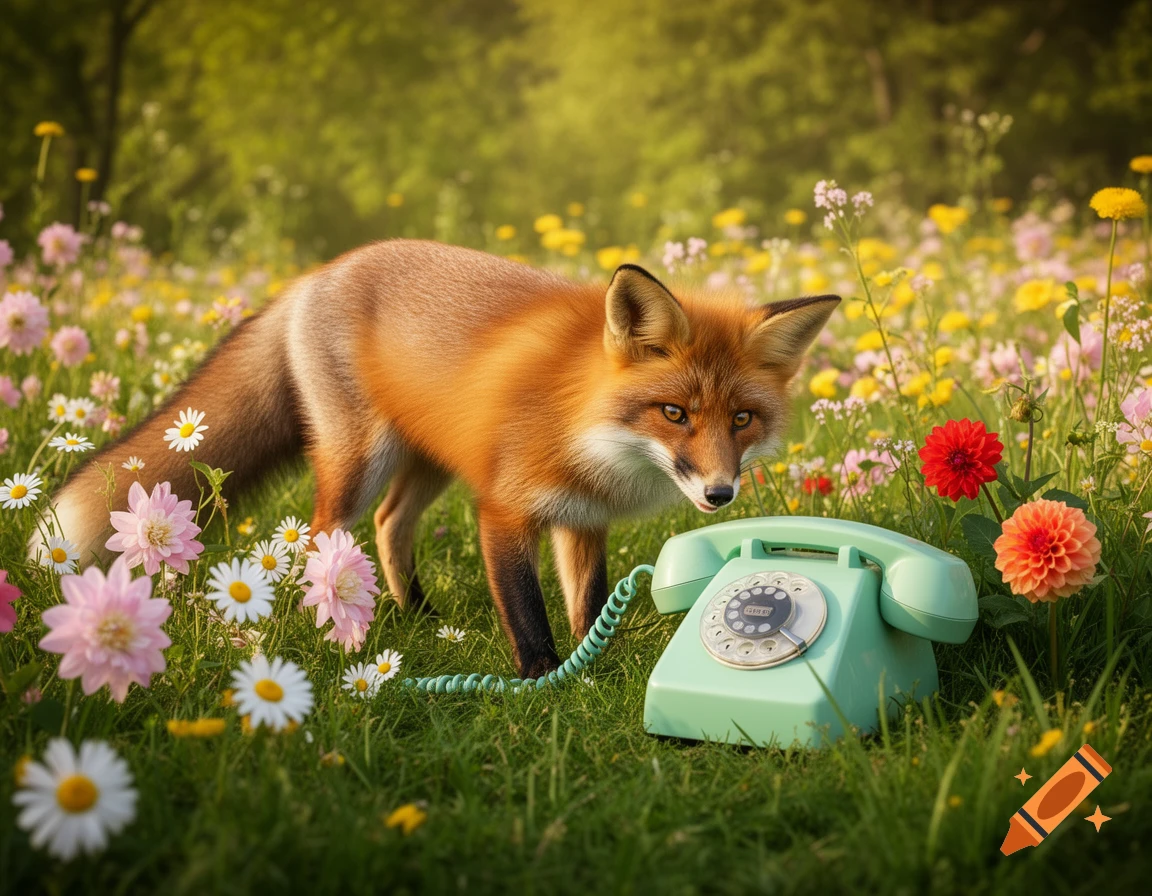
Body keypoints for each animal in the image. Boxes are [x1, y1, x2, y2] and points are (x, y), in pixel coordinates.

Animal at [31, 239, 838, 678]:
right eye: (674, 414)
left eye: (741, 419)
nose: (721, 495)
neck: (582, 416)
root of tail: (316, 274)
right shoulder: (504, 508)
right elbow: (527, 611)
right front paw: (544, 684)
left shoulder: (582, 520)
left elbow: (586, 603)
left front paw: (593, 666)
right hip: (361, 461)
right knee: (325, 531)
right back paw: (342, 624)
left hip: (430, 461)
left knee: (391, 524)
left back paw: (414, 615)